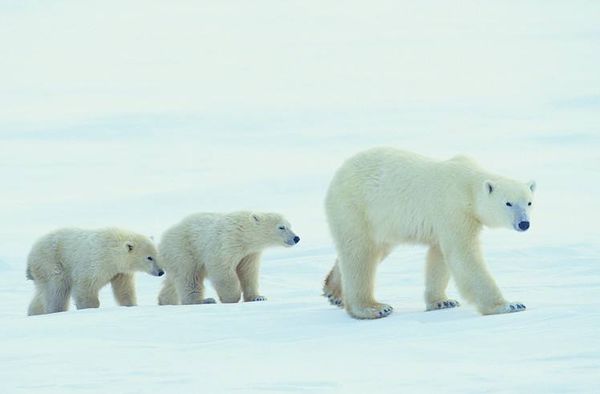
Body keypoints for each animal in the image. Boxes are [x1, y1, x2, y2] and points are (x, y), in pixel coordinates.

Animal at [27, 226, 163, 316]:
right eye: (149, 257)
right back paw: (55, 310)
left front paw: (131, 305)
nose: (161, 272)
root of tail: (31, 254)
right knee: (57, 289)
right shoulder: (95, 263)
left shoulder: (120, 272)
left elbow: (124, 289)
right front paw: (89, 308)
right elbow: (85, 287)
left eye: (157, 255)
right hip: (52, 262)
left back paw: (34, 312)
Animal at [158, 212, 300, 304]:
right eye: (281, 227)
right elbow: (222, 269)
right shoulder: (226, 243)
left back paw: (165, 301)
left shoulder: (250, 254)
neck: (243, 233)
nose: (296, 238)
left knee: (173, 281)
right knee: (189, 276)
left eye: (290, 225)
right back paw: (203, 300)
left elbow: (249, 272)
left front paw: (258, 297)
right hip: (184, 249)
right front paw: (231, 297)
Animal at [326, 149, 536, 320]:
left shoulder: (446, 221)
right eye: (508, 203)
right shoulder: (454, 209)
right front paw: (509, 305)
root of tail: (337, 175)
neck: (467, 184)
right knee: (360, 254)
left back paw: (333, 291)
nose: (524, 223)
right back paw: (373, 308)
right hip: (356, 208)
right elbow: (464, 256)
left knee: (374, 249)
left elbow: (439, 256)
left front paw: (442, 301)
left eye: (529, 202)